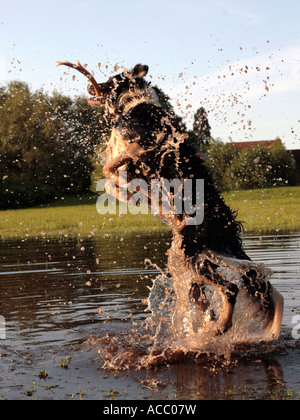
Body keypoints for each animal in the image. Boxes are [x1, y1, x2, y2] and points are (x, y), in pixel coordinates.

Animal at [58, 60, 284, 340]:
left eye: (109, 80)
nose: (90, 86)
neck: (132, 103)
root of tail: (227, 225)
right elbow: (111, 175)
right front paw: (134, 195)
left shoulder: (140, 149)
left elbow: (109, 167)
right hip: (196, 262)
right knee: (205, 297)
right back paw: (206, 328)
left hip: (192, 256)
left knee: (230, 289)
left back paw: (218, 329)